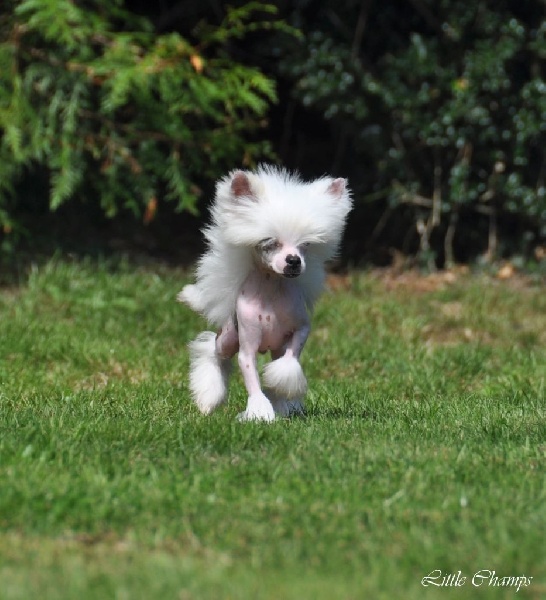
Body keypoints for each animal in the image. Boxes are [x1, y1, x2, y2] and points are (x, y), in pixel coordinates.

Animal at [178, 165, 352, 421]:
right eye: (270, 242)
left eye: (305, 245)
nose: (294, 261)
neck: (271, 290)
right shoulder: (247, 347)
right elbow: (252, 378)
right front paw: (259, 412)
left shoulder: (300, 329)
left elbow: (290, 359)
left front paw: (280, 395)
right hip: (229, 338)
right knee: (214, 350)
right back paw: (208, 398)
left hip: (274, 346)